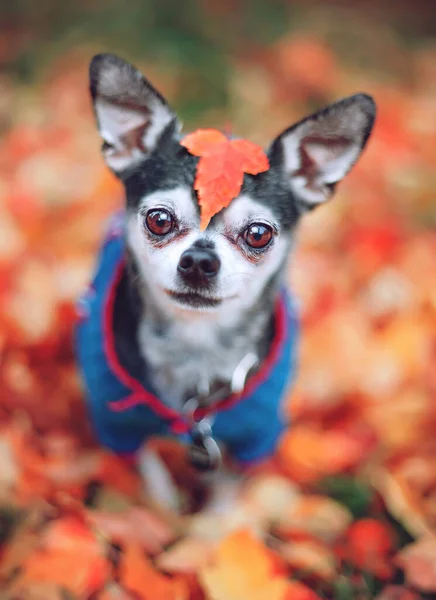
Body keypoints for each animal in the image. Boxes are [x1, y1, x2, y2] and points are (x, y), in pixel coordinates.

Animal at [75, 52, 374, 516]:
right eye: (159, 219)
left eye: (259, 233)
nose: (199, 260)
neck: (195, 346)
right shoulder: (117, 421)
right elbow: (150, 471)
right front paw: (165, 512)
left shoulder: (255, 435)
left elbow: (227, 490)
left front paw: (213, 525)